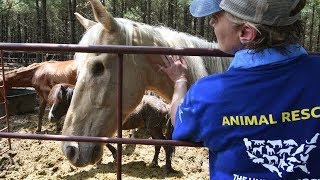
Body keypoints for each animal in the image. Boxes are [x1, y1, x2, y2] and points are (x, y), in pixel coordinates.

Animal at [47, 83, 175, 172]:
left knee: (165, 146)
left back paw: (167, 168)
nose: (50, 117)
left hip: (154, 129)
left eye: (59, 101)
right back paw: (154, 163)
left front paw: (113, 155)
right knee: (158, 145)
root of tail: (164, 105)